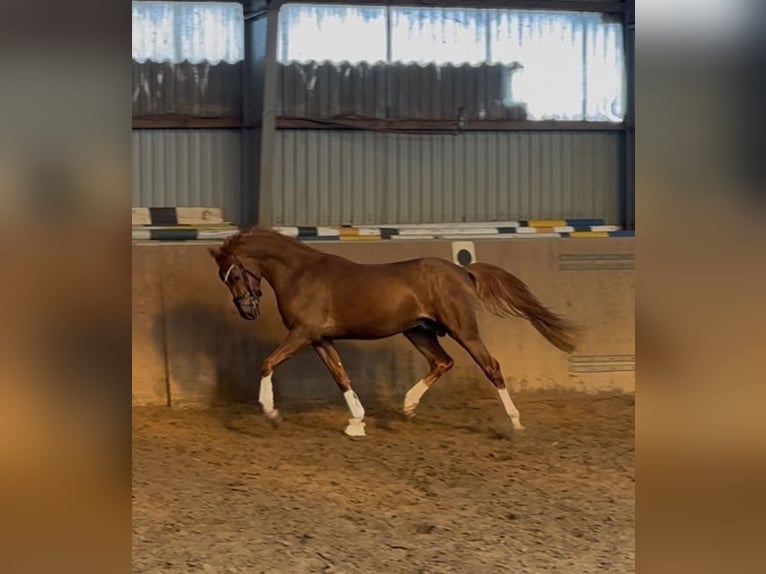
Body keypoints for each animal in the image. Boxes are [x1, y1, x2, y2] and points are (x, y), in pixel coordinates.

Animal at [208, 226, 580, 437]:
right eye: (224, 277)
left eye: (234, 273)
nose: (247, 311)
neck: (302, 274)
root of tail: (464, 272)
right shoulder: (321, 339)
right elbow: (341, 376)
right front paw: (357, 423)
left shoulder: (302, 334)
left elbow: (267, 363)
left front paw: (271, 413)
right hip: (419, 331)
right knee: (442, 363)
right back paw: (408, 406)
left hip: (462, 329)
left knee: (491, 367)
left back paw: (515, 423)